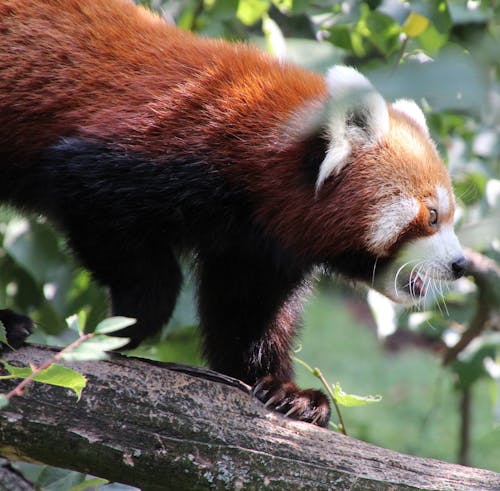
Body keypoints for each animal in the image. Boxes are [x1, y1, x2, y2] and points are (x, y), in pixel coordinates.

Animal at [1, 0, 466, 426]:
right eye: (432, 216)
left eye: (450, 217)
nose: (461, 264)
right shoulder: (146, 154)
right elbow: (99, 209)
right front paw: (124, 326)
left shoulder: (258, 244)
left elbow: (247, 311)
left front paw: (284, 389)